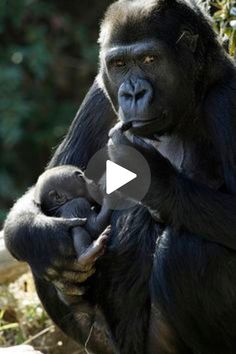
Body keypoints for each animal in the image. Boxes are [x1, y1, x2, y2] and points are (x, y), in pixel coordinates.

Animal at [3, 0, 236, 354]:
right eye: (119, 64)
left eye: (150, 60)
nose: (133, 92)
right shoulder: (100, 91)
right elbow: (42, 190)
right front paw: (48, 239)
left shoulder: (228, 99)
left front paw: (154, 179)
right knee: (38, 257)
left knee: (189, 250)